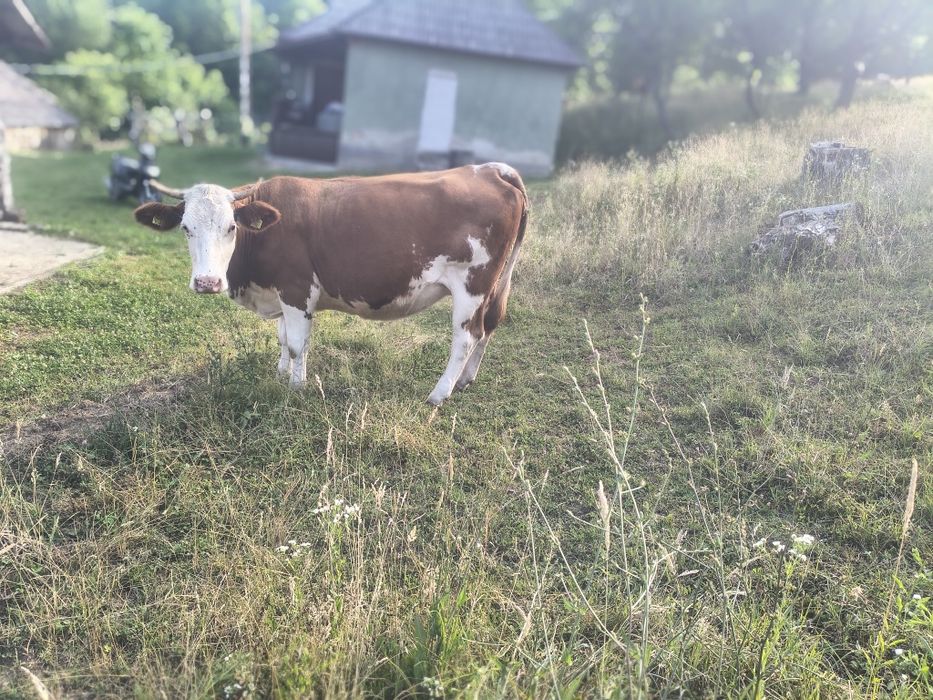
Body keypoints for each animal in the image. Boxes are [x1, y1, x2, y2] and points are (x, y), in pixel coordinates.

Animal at [133, 163, 528, 406]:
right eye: (186, 228)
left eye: (231, 227)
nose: (207, 282)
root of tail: (492, 169)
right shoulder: (280, 293)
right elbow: (282, 339)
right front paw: (281, 373)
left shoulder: (296, 290)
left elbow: (297, 344)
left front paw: (296, 387)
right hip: (493, 285)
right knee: (488, 326)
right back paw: (465, 380)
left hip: (472, 283)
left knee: (467, 336)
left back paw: (439, 393)